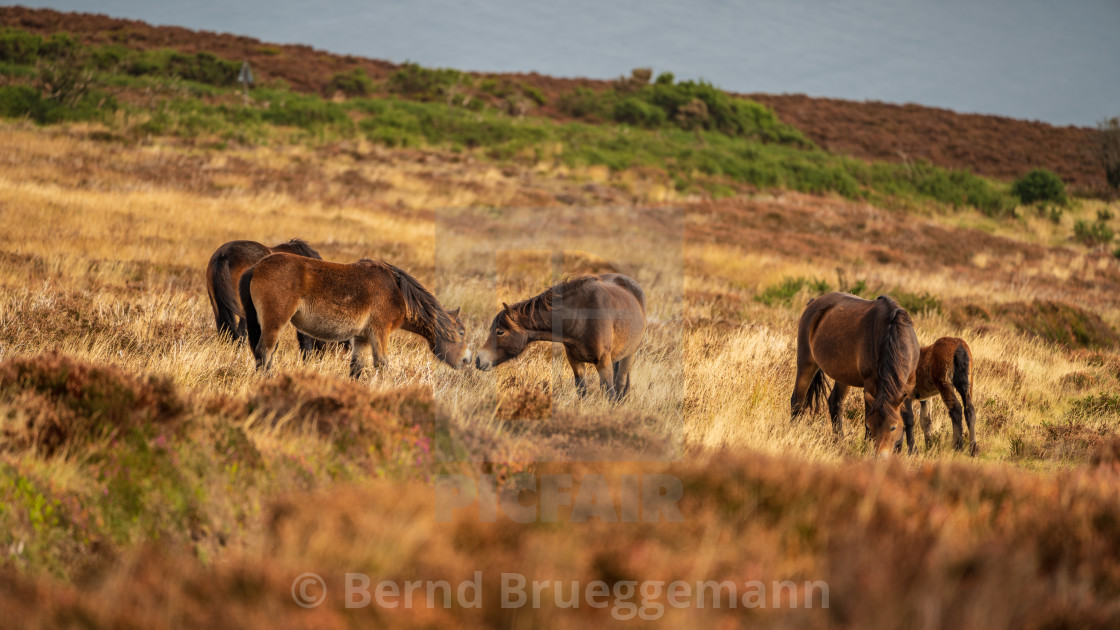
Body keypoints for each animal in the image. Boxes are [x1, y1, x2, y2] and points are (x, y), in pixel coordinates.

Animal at [240, 251, 472, 376]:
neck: (397, 292)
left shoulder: (361, 338)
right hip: (274, 324)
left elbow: (356, 369)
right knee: (264, 353)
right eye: (461, 333)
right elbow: (382, 364)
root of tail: (256, 268)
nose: (467, 360)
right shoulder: (380, 333)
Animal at [474, 273, 649, 399]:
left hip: (629, 355)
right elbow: (582, 392)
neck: (581, 317)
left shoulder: (603, 361)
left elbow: (609, 393)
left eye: (500, 331)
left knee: (620, 385)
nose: (478, 360)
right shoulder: (575, 360)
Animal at [788, 291, 918, 452]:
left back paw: (839, 440)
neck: (892, 334)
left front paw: (911, 450)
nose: (880, 453)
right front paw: (867, 445)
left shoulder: (909, 383)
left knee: (835, 403)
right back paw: (794, 432)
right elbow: (869, 414)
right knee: (797, 401)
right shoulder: (870, 383)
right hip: (806, 364)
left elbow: (908, 418)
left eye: (893, 427)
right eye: (872, 426)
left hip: (843, 377)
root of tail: (813, 303)